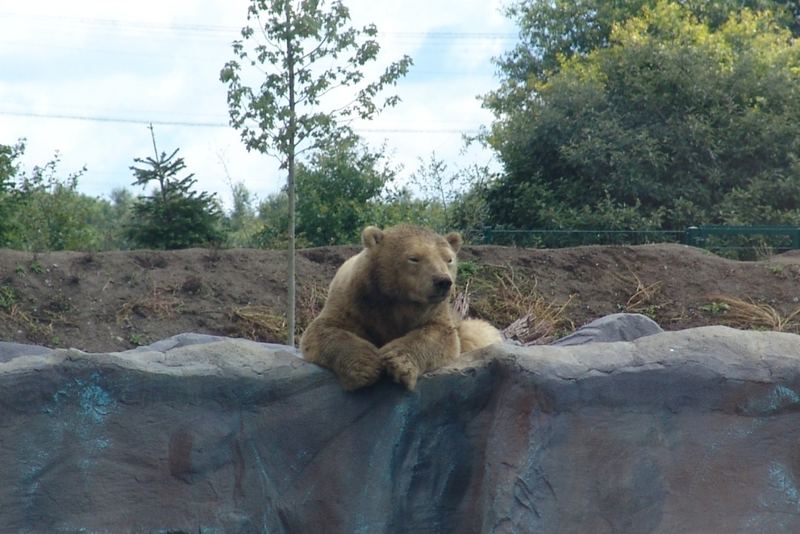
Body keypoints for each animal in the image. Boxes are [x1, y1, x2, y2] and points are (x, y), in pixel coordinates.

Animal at [300, 224, 500, 392]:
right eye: (414, 258)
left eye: (449, 259)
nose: (443, 281)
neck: (396, 300)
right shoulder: (351, 300)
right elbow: (325, 329)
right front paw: (366, 366)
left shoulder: (435, 311)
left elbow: (439, 335)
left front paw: (397, 362)